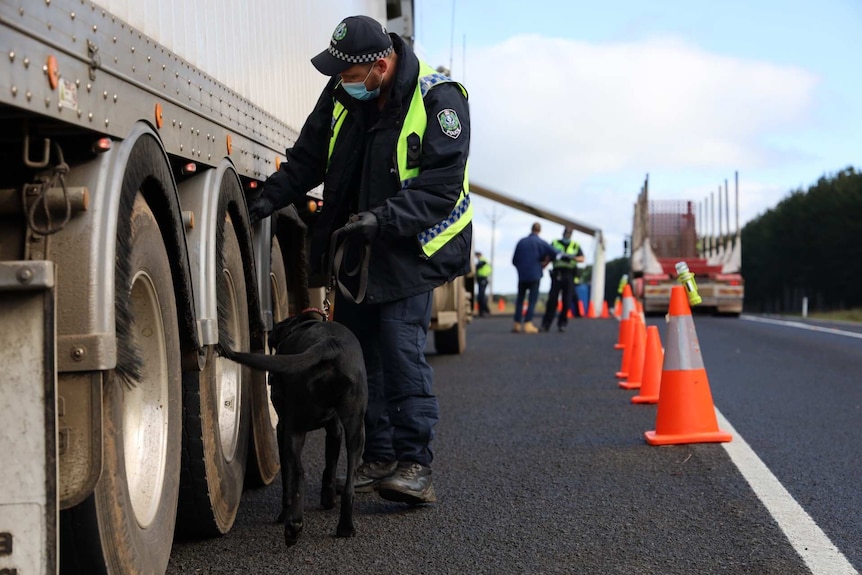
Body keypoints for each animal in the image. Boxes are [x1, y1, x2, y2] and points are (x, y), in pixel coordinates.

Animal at [221, 310, 366, 548]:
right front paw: (328, 499)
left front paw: (284, 515)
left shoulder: (282, 428)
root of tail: (328, 344)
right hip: (356, 428)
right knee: (349, 485)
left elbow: (288, 478)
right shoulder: (334, 430)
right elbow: (330, 465)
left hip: (293, 429)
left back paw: (293, 524)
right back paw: (345, 527)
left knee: (299, 473)